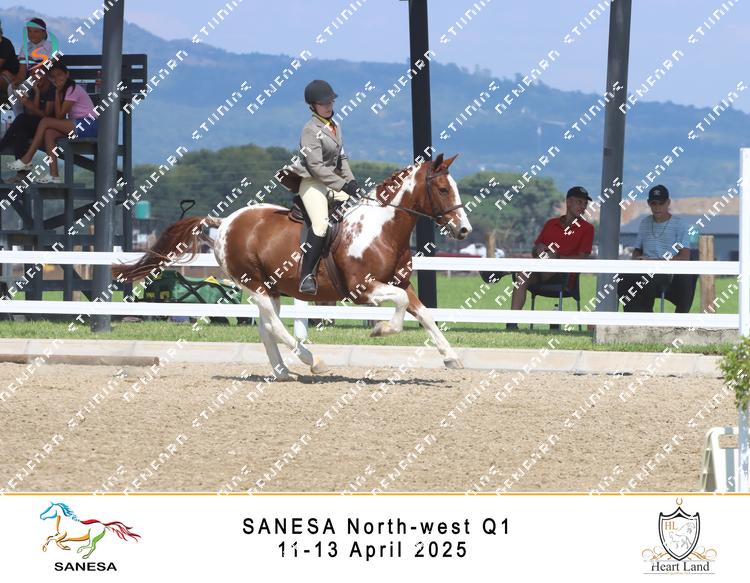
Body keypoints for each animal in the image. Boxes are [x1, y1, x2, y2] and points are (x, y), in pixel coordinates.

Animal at [113, 153, 472, 379]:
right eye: (443, 189)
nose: (464, 230)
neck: (383, 227)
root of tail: (225, 221)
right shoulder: (363, 289)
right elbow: (398, 308)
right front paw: (381, 329)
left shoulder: (401, 283)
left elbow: (424, 314)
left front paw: (451, 357)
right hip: (254, 285)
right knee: (275, 326)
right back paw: (313, 362)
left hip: (271, 288)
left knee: (266, 327)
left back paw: (283, 372)